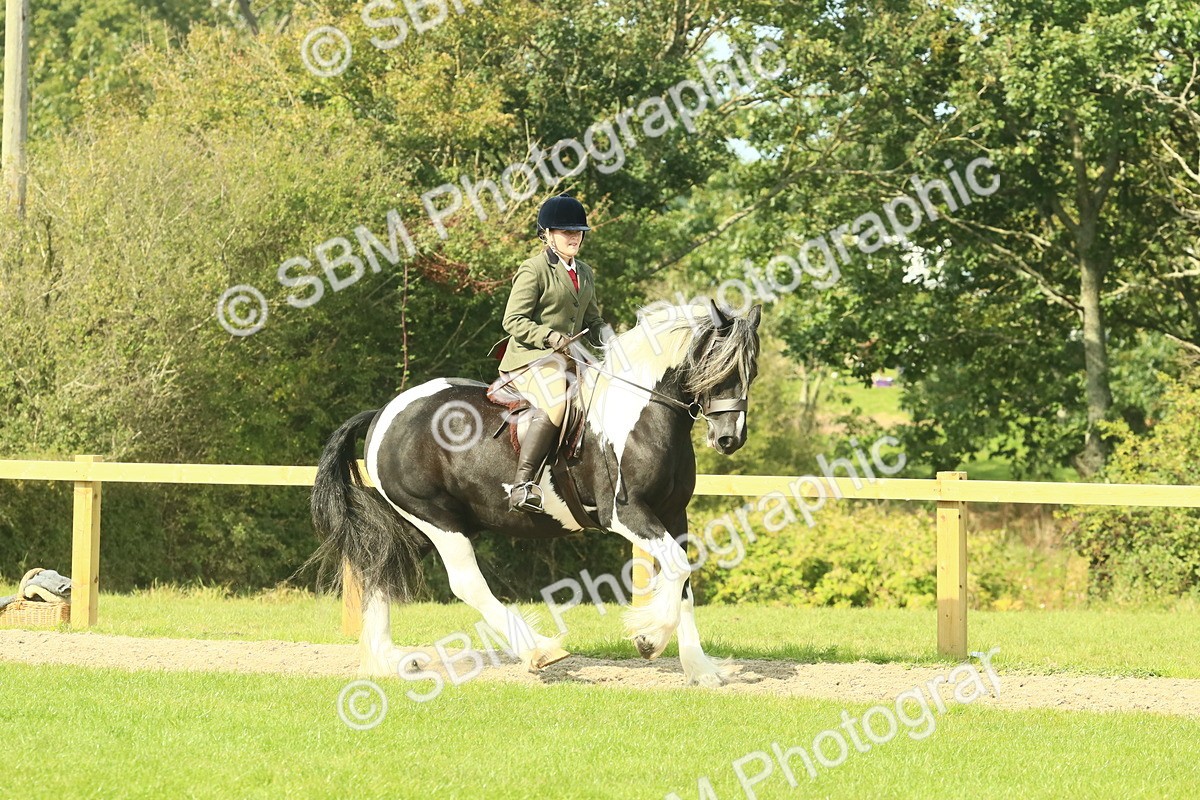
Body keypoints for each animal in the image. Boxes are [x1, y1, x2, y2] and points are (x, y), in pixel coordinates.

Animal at [309, 299, 761, 686]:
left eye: (751, 370)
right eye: (717, 366)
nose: (729, 439)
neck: (640, 412)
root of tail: (384, 412)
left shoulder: (672, 514)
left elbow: (682, 580)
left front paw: (700, 669)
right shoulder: (626, 513)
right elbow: (678, 569)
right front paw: (649, 640)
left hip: (424, 523)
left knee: (380, 570)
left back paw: (388, 660)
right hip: (436, 520)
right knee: (465, 583)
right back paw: (539, 651)